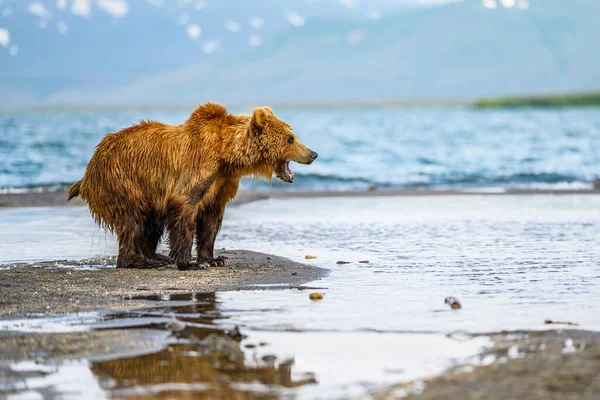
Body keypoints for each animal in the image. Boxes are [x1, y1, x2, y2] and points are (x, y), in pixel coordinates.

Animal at [66, 103, 318, 270]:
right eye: (290, 138)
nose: (313, 154)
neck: (227, 155)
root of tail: (87, 174)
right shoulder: (197, 169)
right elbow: (184, 208)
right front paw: (190, 263)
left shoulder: (221, 183)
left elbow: (211, 220)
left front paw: (215, 259)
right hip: (122, 181)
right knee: (134, 218)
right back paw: (139, 260)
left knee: (149, 223)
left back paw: (155, 257)